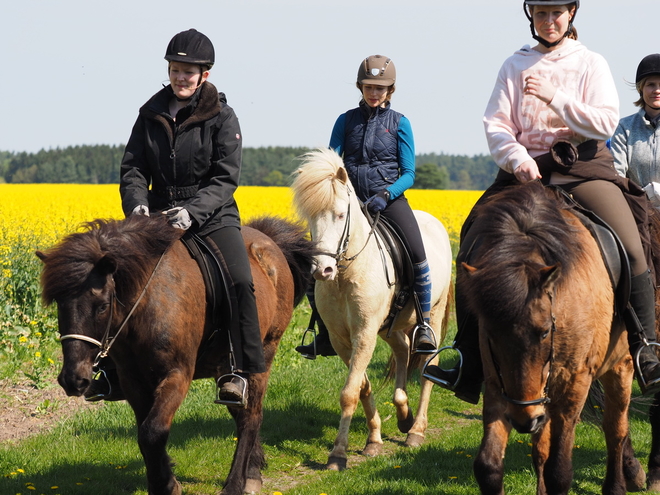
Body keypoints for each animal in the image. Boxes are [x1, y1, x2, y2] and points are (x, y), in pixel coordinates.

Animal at [36, 216, 318, 495]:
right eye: (59, 304)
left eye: (103, 306)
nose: (73, 380)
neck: (148, 303)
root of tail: (268, 240)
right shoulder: (132, 381)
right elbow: (145, 433)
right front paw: (164, 480)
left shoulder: (176, 375)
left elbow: (152, 431)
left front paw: (166, 485)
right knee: (240, 410)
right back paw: (253, 467)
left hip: (264, 353)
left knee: (251, 416)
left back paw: (239, 482)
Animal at [292, 148, 454, 472]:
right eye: (311, 218)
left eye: (341, 215)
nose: (321, 270)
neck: (346, 274)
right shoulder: (342, 339)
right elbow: (361, 387)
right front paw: (374, 439)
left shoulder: (364, 334)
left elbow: (349, 392)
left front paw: (337, 455)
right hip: (391, 325)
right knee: (403, 349)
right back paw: (403, 414)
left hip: (434, 315)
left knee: (427, 366)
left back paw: (416, 430)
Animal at [458, 183, 644, 495]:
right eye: (490, 334)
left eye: (544, 331)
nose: (524, 420)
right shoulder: (499, 384)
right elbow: (489, 466)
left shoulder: (575, 382)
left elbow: (560, 470)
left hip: (621, 365)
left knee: (615, 428)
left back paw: (623, 482)